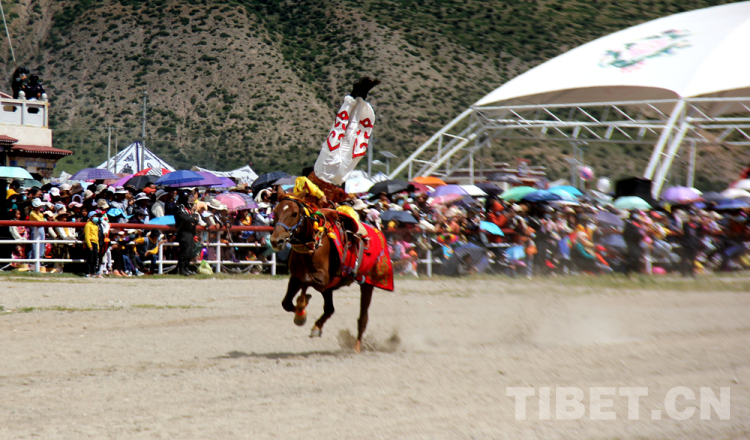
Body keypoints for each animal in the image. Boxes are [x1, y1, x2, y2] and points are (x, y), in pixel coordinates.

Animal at [270, 191, 376, 352]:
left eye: (294, 213)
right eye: (275, 212)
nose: (277, 241)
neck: (310, 248)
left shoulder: (322, 280)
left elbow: (306, 282)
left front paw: (301, 310)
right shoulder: (296, 277)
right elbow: (286, 303)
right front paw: (300, 313)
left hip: (367, 284)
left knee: (362, 317)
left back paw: (356, 347)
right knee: (330, 309)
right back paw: (316, 327)